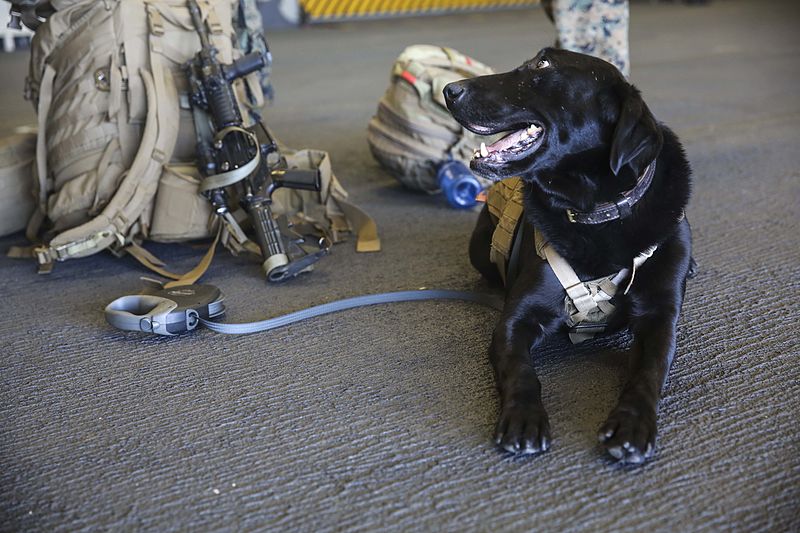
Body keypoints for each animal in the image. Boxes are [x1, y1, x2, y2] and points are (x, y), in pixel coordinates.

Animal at [444, 47, 692, 462]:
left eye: (543, 65)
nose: (449, 89)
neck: (593, 212)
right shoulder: (517, 319)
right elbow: (521, 370)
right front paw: (523, 417)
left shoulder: (659, 318)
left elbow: (648, 372)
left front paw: (631, 424)